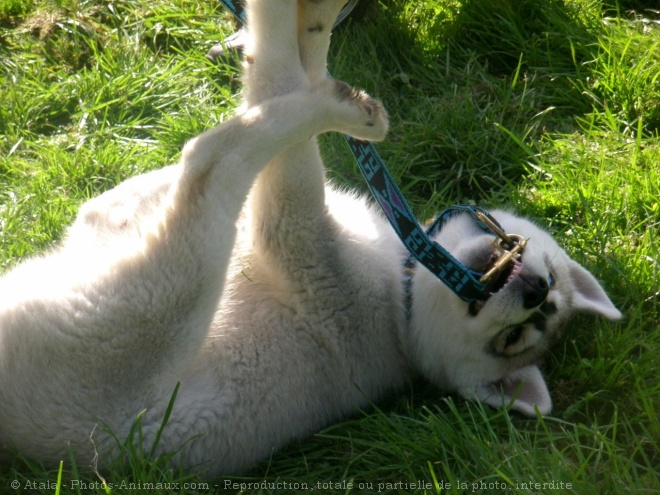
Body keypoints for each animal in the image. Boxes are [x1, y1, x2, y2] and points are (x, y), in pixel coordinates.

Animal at [0, 0, 620, 480]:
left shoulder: (294, 234)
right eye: (553, 284)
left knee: (209, 162)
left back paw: (346, 112)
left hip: (154, 303)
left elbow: (276, 78)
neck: (401, 295)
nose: (536, 293)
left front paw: (280, 31)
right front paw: (311, 19)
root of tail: (28, 449)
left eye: (513, 340)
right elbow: (296, 62)